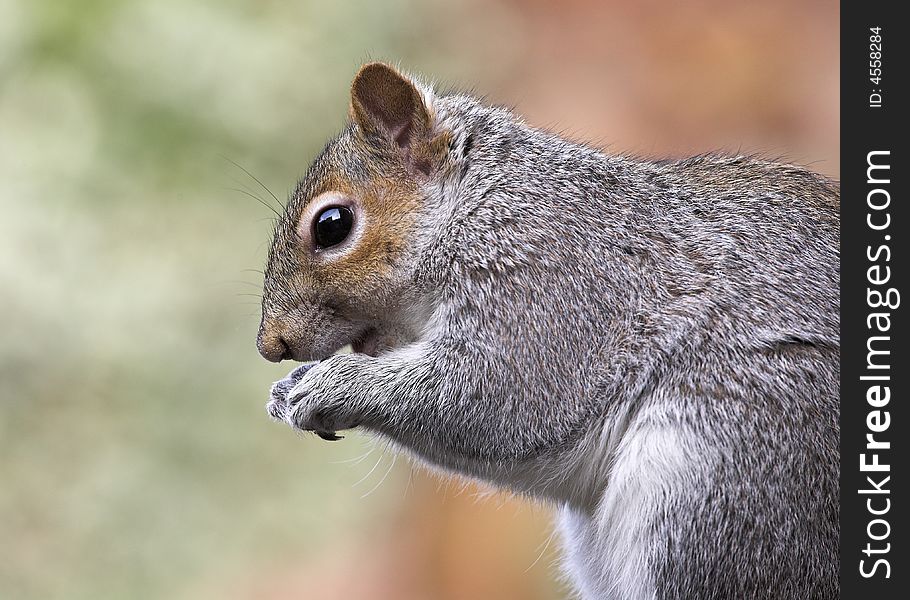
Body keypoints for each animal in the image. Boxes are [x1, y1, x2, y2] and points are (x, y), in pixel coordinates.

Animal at [256, 62, 840, 600]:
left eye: (332, 225)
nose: (270, 345)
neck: (478, 206)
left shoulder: (551, 284)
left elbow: (495, 397)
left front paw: (329, 385)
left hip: (721, 483)